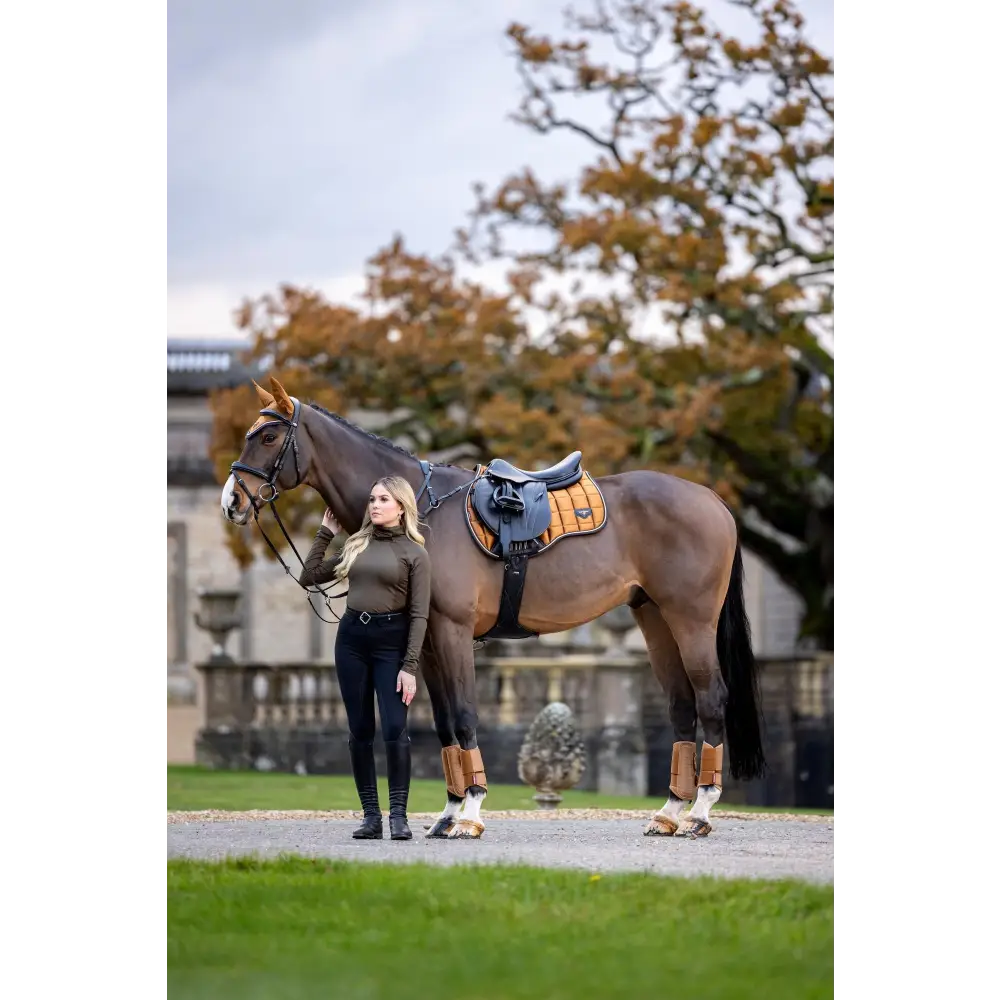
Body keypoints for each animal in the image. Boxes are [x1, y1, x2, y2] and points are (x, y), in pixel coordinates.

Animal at [221, 378, 764, 840]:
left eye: (267, 435)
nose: (231, 502)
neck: (422, 512)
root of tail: (711, 498)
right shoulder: (428, 643)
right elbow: (444, 723)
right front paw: (447, 813)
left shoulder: (453, 632)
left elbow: (464, 715)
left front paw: (471, 813)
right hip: (655, 619)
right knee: (682, 706)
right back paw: (669, 813)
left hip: (691, 620)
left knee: (710, 698)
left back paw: (699, 812)